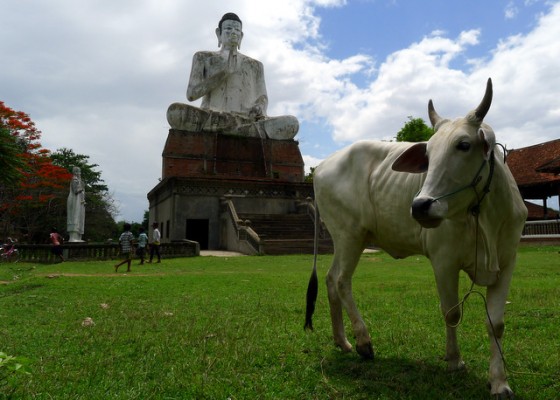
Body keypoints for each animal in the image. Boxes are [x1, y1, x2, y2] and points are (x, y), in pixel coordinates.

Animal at [306, 79, 528, 398]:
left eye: (464, 145)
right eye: (428, 154)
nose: (421, 205)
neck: (484, 217)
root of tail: (322, 166)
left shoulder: (507, 262)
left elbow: (495, 324)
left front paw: (499, 381)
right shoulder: (444, 261)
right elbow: (451, 313)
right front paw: (454, 361)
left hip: (345, 239)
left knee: (329, 278)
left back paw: (342, 341)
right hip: (350, 235)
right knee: (340, 281)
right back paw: (363, 341)